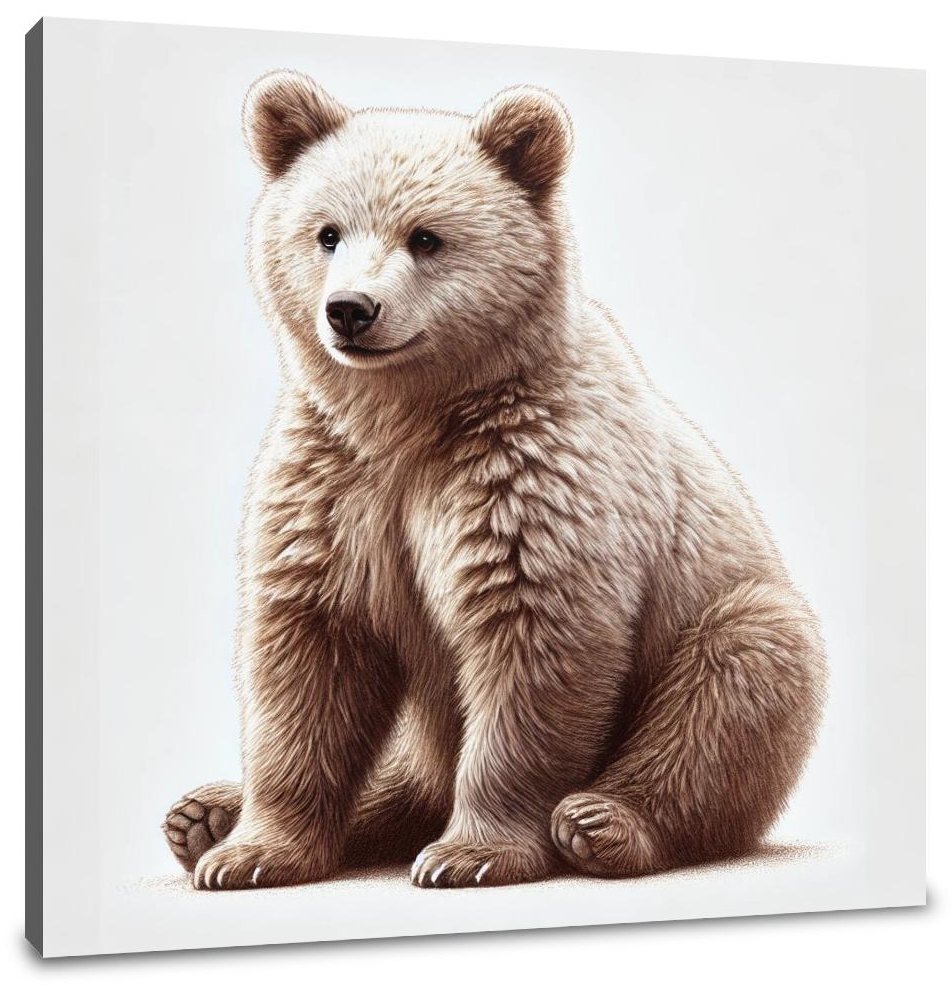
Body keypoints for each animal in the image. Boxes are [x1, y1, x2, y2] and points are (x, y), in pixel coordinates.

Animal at [163, 71, 826, 890]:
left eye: (426, 237)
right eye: (327, 232)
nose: (350, 309)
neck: (407, 418)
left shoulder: (530, 475)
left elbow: (530, 642)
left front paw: (470, 852)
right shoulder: (331, 484)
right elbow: (307, 657)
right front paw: (252, 851)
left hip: (729, 612)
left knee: (736, 674)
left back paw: (603, 821)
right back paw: (203, 811)